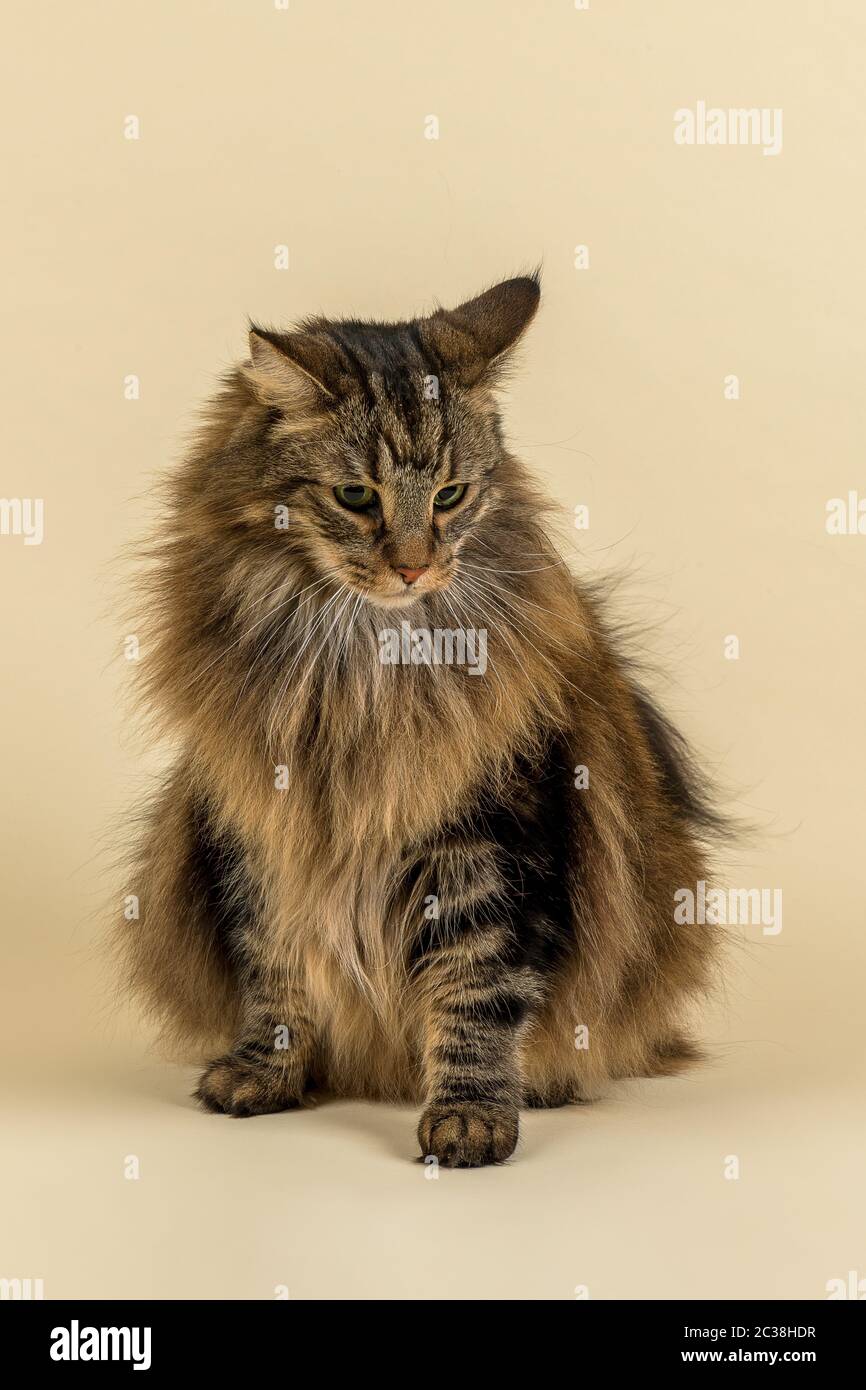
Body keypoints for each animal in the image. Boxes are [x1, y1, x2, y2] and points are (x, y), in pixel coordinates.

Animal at [116, 271, 722, 1162]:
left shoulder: (490, 839)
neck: (363, 665)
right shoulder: (264, 828)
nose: (414, 567)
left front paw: (470, 1116)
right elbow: (274, 971)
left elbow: (476, 990)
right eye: (355, 497)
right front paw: (263, 1075)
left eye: (450, 495)